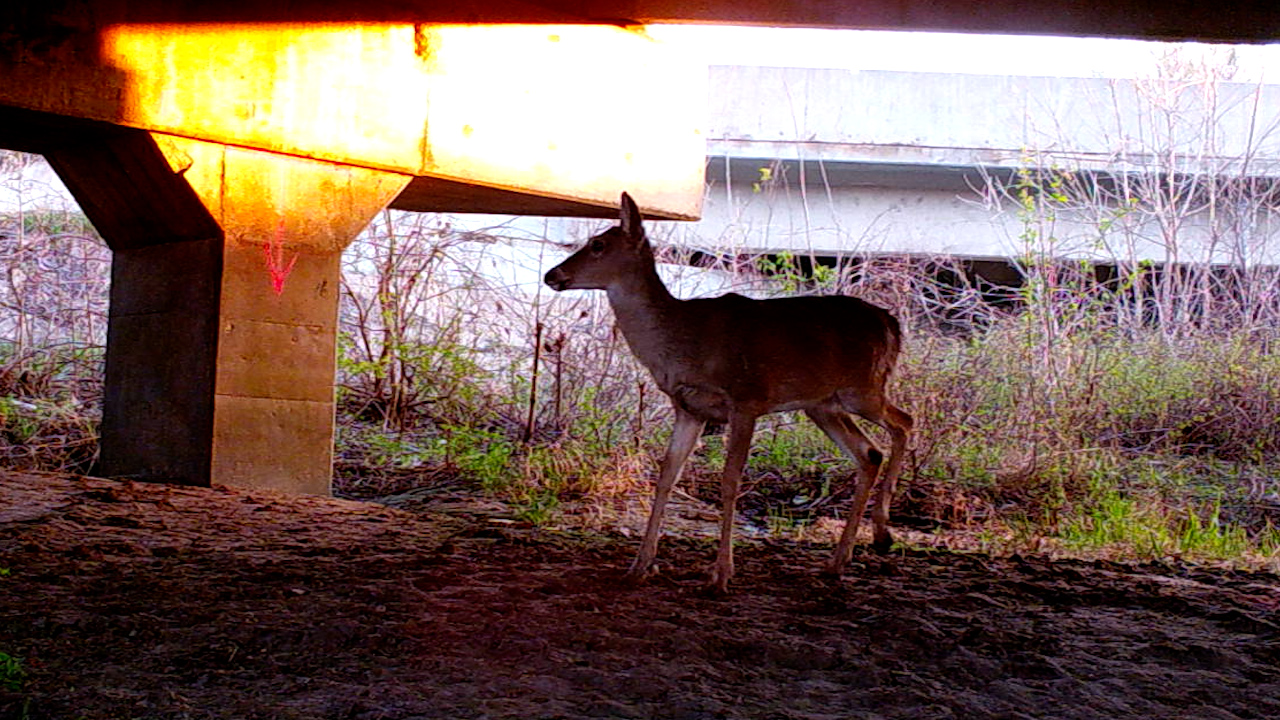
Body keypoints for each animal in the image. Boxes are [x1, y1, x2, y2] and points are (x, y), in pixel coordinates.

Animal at [544, 193, 913, 593]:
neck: (682, 339)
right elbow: (667, 476)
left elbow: (730, 480)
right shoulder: (689, 408)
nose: (552, 275)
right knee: (869, 453)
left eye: (598, 244)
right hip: (823, 406)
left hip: (863, 387)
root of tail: (892, 324)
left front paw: (721, 573)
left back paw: (882, 534)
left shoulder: (746, 399)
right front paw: (640, 565)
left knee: (904, 422)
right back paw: (839, 561)